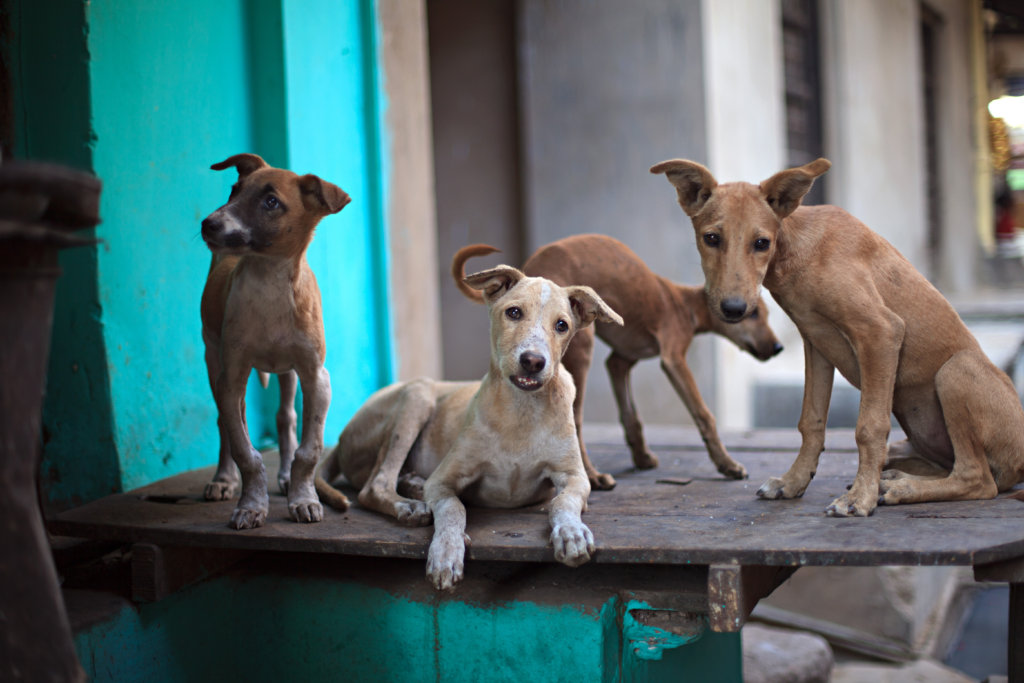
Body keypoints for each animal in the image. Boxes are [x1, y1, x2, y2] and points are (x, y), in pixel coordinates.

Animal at [199, 153, 352, 528]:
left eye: (271, 202)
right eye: (234, 190)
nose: (208, 224)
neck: (269, 281)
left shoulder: (316, 376)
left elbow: (309, 450)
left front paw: (304, 498)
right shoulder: (231, 378)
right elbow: (245, 451)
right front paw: (251, 504)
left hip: (288, 372)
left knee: (285, 418)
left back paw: (283, 476)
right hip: (213, 358)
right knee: (226, 422)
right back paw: (223, 479)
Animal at [315, 264, 618, 589]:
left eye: (562, 325)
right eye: (513, 312)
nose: (534, 361)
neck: (521, 411)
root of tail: (341, 439)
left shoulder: (574, 476)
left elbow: (563, 501)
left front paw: (571, 532)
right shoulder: (443, 480)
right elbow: (453, 508)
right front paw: (447, 551)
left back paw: (413, 485)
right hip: (418, 395)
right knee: (374, 485)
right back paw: (409, 504)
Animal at [450, 235, 782, 491]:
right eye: (753, 314)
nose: (778, 347)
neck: (683, 305)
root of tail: (531, 270)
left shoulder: (620, 362)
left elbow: (631, 415)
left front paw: (642, 457)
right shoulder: (673, 359)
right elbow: (704, 415)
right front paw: (727, 465)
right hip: (582, 351)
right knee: (575, 419)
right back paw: (594, 477)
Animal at [651, 156, 1024, 518]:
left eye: (761, 243)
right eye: (712, 238)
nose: (732, 309)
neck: (797, 251)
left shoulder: (881, 331)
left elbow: (869, 428)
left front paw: (859, 498)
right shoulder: (816, 343)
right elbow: (811, 422)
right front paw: (794, 481)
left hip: (955, 371)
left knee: (978, 478)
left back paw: (901, 488)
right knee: (938, 463)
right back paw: (895, 476)